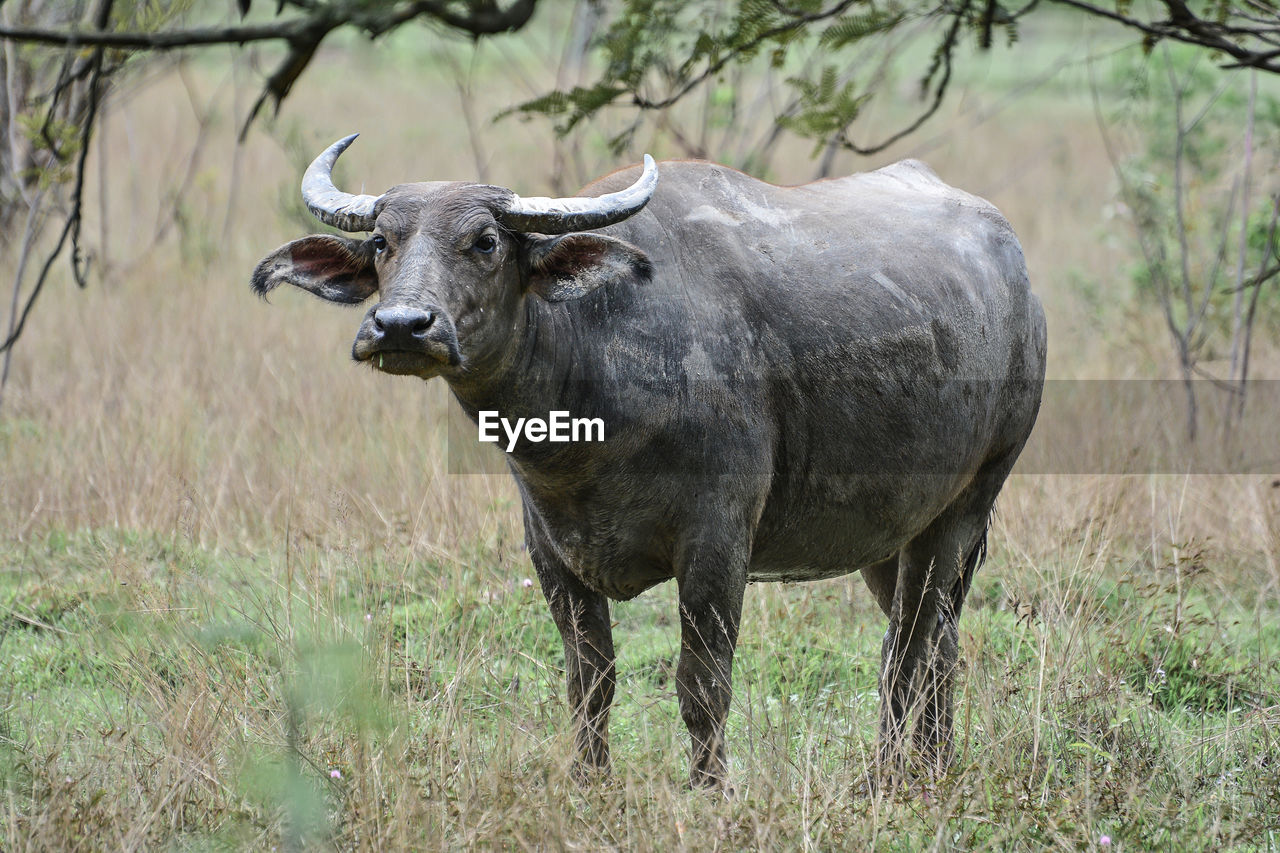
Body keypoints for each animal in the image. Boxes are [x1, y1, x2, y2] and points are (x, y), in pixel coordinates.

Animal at [252, 136, 1049, 788]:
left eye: (483, 241)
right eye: (384, 241)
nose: (401, 326)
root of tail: (1019, 274)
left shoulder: (718, 543)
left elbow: (702, 685)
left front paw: (709, 790)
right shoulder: (552, 552)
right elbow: (590, 682)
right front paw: (589, 783)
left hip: (968, 504)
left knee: (908, 648)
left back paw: (885, 776)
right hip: (889, 535)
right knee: (941, 643)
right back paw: (933, 765)